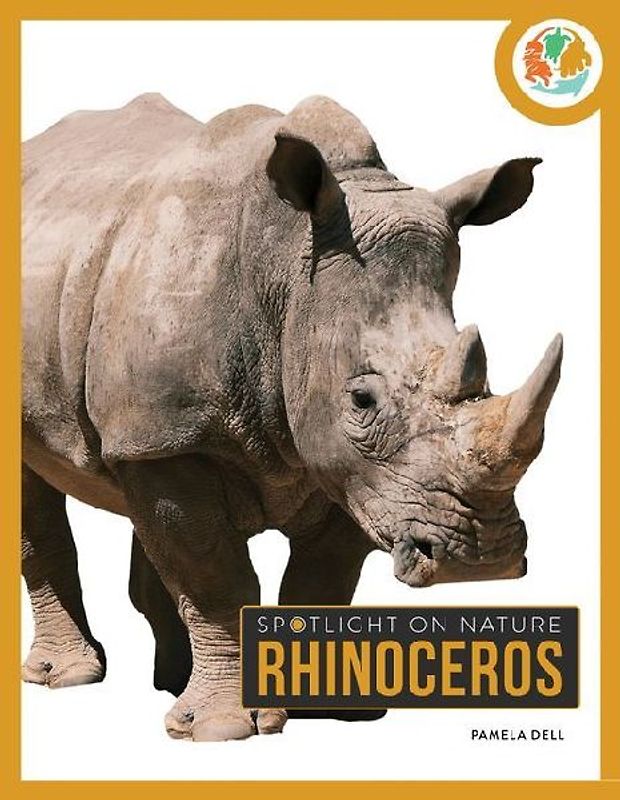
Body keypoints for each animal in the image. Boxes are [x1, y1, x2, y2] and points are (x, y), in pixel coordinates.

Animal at [22, 93, 562, 742]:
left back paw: (170, 683)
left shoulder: (348, 468)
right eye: (361, 401)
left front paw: (334, 709)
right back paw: (70, 679)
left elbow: (323, 579)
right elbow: (215, 577)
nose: (482, 558)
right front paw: (222, 730)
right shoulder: (179, 438)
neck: (283, 269)